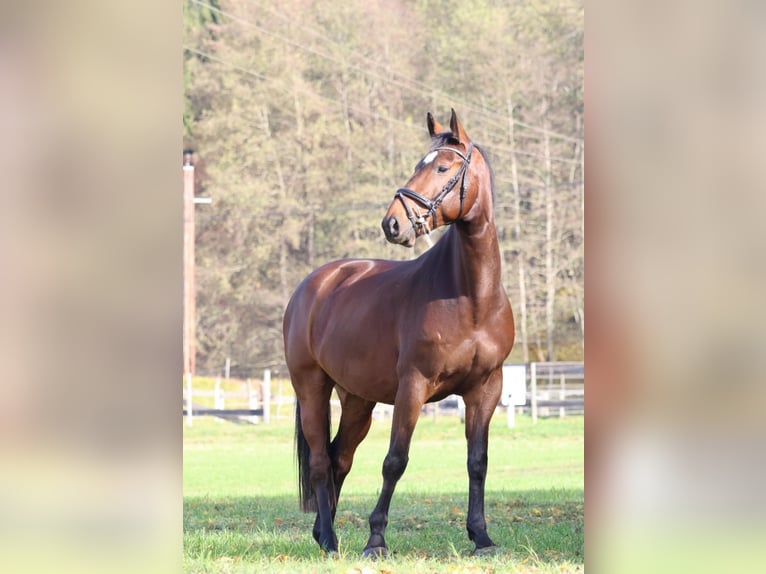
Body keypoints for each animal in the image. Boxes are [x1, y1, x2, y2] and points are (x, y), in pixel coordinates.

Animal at [282, 109, 515, 557]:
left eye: (443, 168)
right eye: (418, 165)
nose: (392, 223)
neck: (470, 296)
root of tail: (313, 284)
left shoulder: (486, 388)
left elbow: (478, 462)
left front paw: (481, 536)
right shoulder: (413, 386)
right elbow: (395, 461)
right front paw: (376, 540)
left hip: (358, 399)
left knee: (339, 459)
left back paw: (323, 532)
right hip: (311, 387)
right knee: (320, 461)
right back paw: (331, 541)